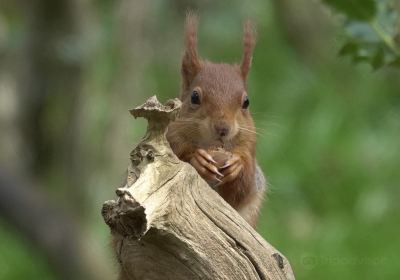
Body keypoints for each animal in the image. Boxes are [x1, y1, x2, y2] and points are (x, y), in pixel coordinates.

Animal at [166, 13, 266, 228]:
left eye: (246, 102)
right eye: (194, 97)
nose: (223, 128)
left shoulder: (249, 146)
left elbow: (242, 190)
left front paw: (237, 165)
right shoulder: (172, 138)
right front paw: (198, 160)